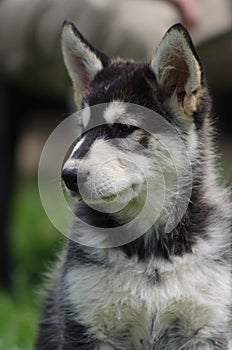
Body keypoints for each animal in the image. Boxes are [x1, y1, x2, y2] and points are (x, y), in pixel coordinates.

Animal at [35, 20, 231, 348]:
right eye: (81, 130)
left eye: (124, 128)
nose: (69, 176)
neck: (150, 255)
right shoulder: (85, 323)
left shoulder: (206, 327)